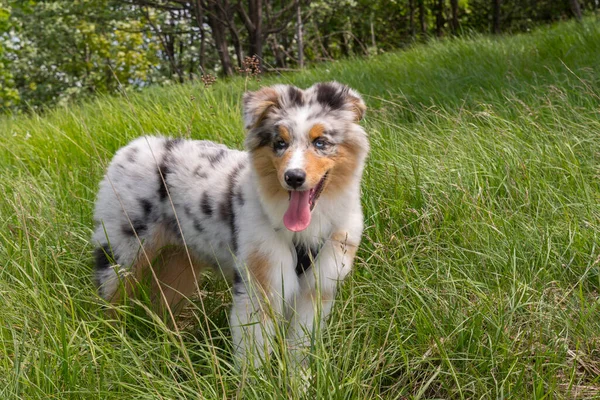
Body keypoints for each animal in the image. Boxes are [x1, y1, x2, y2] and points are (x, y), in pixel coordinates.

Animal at [91, 81, 368, 366]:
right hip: (122, 252)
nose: (293, 177)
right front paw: (258, 379)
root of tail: (131, 147)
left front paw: (298, 378)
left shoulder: (317, 287)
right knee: (110, 300)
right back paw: (113, 343)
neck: (304, 230)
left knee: (162, 303)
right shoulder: (259, 283)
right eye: (279, 143)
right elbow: (254, 352)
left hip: (180, 262)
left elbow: (299, 348)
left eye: (320, 142)